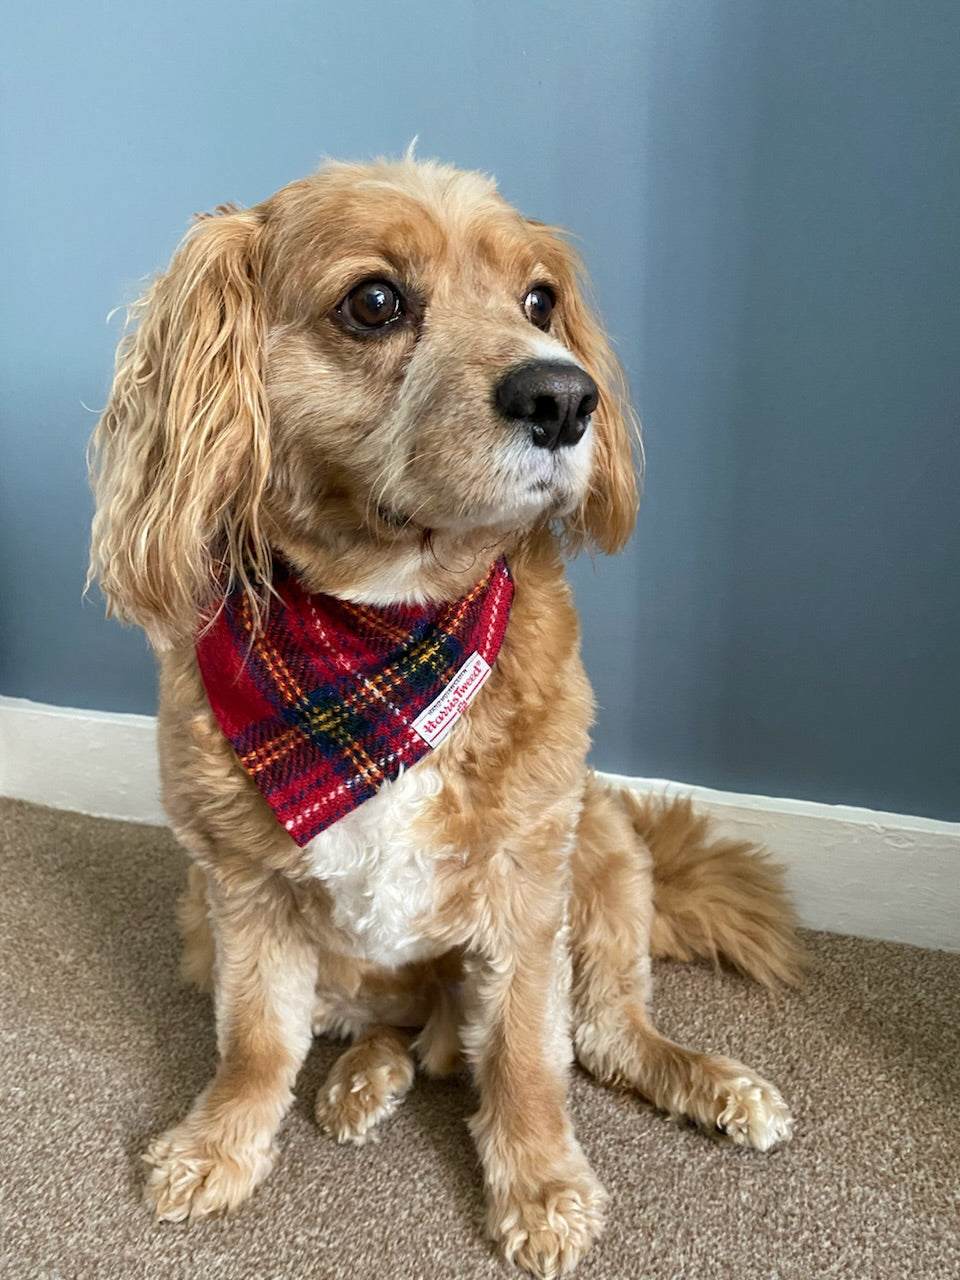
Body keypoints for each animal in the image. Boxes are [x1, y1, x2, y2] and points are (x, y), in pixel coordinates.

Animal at [88, 154, 803, 1274]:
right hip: (212, 920)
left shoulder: (524, 885)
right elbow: (256, 1039)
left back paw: (714, 1083)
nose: (563, 395)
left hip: (605, 846)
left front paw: (541, 1184)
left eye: (540, 301)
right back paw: (363, 1078)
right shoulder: (242, 891)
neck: (391, 625)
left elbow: (525, 1056)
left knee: (602, 1035)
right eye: (374, 301)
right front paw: (220, 1143)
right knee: (384, 1032)